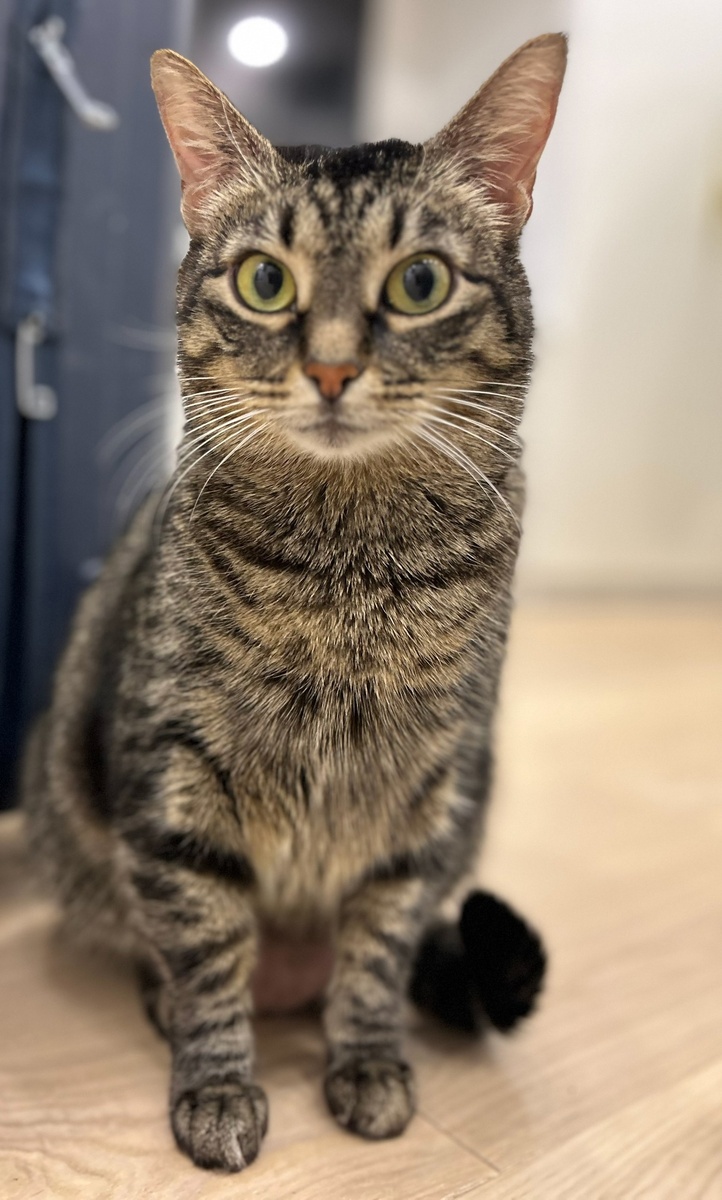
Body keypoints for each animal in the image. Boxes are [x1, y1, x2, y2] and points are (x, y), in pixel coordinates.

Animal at [21, 34, 566, 1172]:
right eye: (265, 282)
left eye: (418, 282)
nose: (329, 367)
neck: (347, 572)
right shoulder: (177, 781)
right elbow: (207, 947)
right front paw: (218, 1086)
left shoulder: (429, 794)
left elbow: (376, 948)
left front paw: (368, 1061)